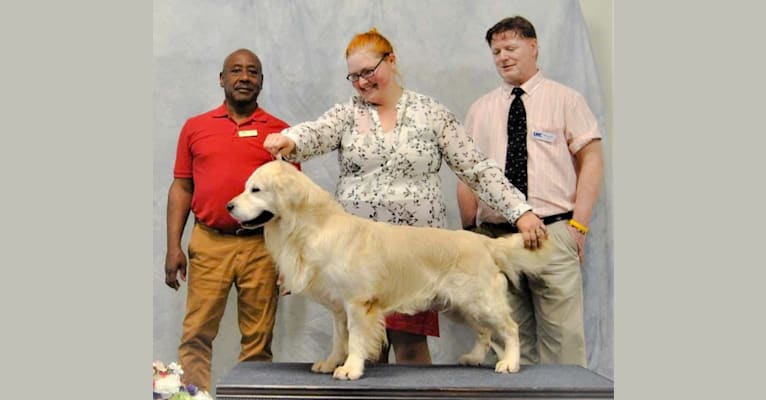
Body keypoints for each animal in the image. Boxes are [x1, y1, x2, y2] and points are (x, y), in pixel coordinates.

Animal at [226, 160, 552, 382]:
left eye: (256, 190)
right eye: (245, 187)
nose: (229, 205)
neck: (312, 229)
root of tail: (485, 243)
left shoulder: (358, 303)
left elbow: (356, 339)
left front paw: (350, 368)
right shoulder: (338, 307)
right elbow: (339, 338)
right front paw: (331, 362)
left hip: (480, 300)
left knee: (509, 328)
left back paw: (510, 363)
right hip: (459, 306)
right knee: (485, 331)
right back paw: (473, 357)